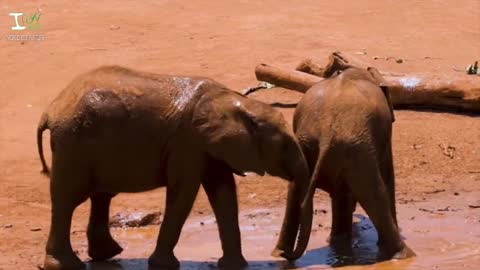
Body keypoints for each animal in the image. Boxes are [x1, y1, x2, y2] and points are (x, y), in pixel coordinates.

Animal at [38, 65, 316, 270]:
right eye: (284, 145)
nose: (283, 255)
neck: (234, 101)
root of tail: (51, 110)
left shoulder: (208, 146)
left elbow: (224, 194)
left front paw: (236, 266)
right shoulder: (188, 143)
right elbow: (184, 194)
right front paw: (164, 266)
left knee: (100, 196)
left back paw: (107, 254)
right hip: (73, 144)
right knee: (68, 199)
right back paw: (67, 265)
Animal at [272, 65, 414, 260]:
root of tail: (325, 132)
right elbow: (387, 177)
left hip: (310, 147)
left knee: (294, 191)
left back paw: (281, 253)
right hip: (356, 150)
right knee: (374, 191)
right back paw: (404, 255)